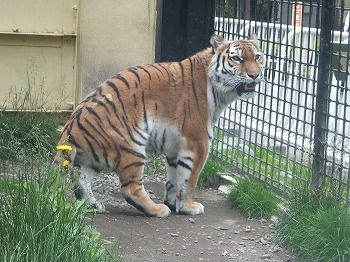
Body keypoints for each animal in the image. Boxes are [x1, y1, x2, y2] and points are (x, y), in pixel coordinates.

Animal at [53, 33, 264, 218]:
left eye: (257, 57)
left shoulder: (174, 147)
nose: (255, 75)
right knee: (130, 189)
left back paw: (94, 205)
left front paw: (173, 202)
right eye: (237, 58)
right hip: (132, 146)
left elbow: (174, 179)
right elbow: (189, 180)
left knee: (80, 180)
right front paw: (187, 207)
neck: (219, 91)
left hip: (92, 158)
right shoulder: (198, 142)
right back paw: (156, 210)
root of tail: (70, 127)